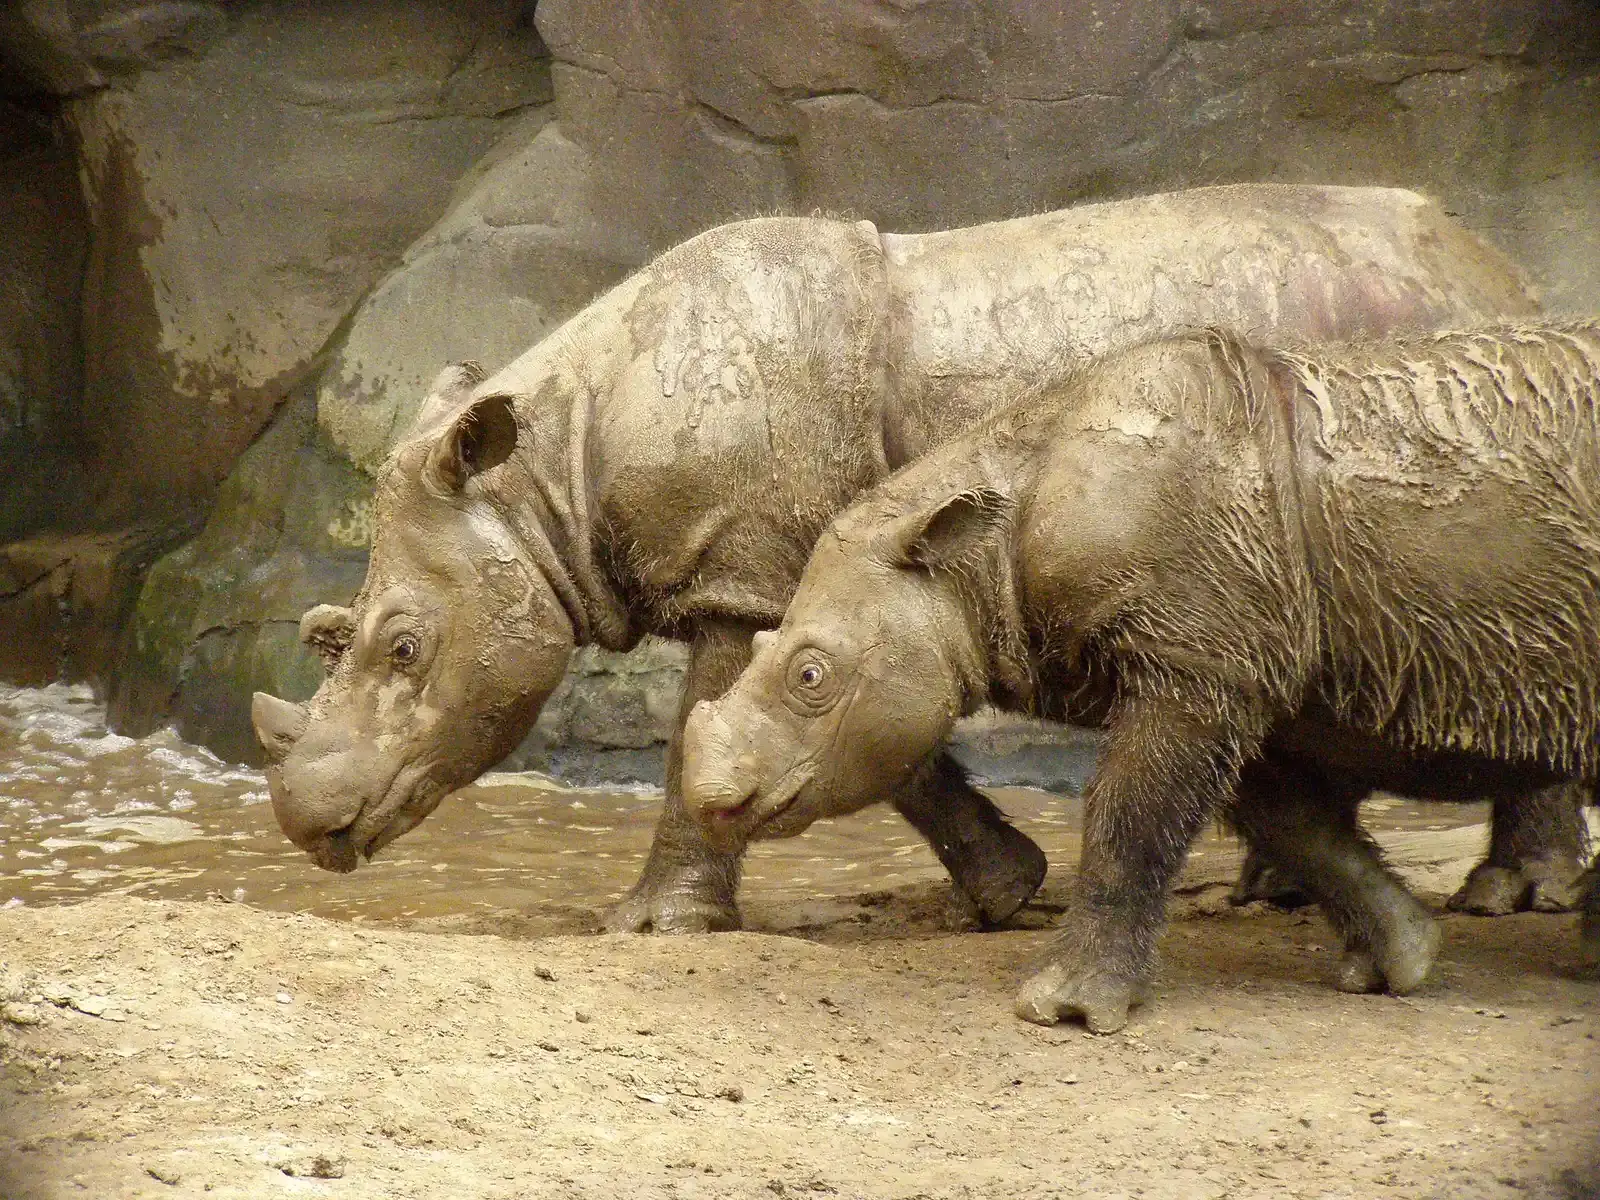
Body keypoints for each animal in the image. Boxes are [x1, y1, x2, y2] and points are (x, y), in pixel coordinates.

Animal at [250, 183, 1588, 932]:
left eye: (401, 647)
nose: (309, 827)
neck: (549, 481)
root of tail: (1503, 262)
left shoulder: (754, 565)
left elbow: (721, 727)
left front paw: (649, 925)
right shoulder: (844, 569)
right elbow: (880, 742)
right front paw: (1003, 892)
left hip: (1456, 386)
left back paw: (1510, 899)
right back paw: (1281, 889)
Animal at [681, 322, 1600, 1031]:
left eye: (810, 675)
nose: (710, 799)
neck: (971, 555)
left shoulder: (1194, 664)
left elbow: (1130, 818)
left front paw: (1063, 1011)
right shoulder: (1233, 662)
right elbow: (1292, 821)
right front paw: (1398, 963)